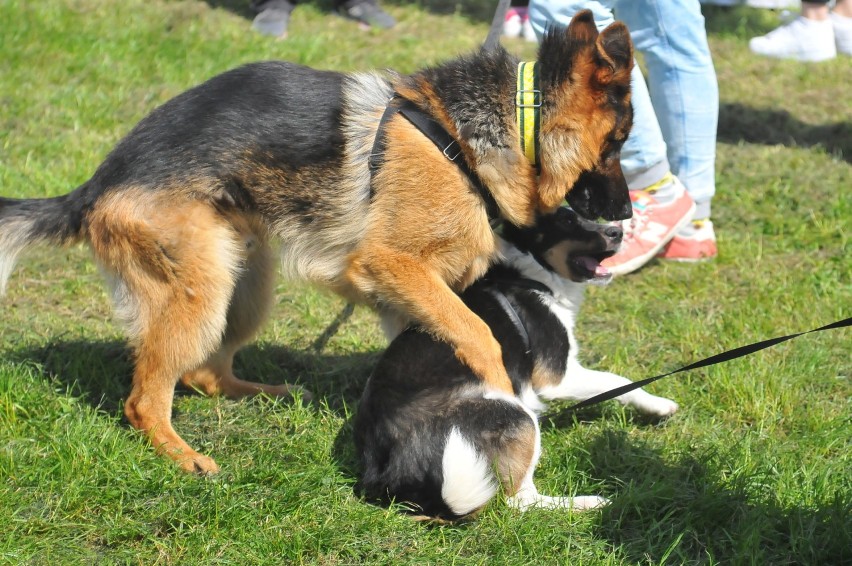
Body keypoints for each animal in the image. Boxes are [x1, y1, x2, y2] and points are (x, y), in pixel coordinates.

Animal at [0, 12, 632, 474]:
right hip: (202, 289)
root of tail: (94, 187)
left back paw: (264, 392)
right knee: (144, 397)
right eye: (619, 142)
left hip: (247, 281)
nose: (626, 219)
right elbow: (477, 332)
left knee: (204, 374)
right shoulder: (390, 265)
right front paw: (501, 391)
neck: (477, 135)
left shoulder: (408, 292)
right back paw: (181, 456)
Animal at [352, 209, 680, 524]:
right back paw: (586, 504)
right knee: (520, 502)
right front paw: (658, 405)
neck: (530, 277)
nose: (618, 231)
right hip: (516, 415)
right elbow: (617, 381)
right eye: (567, 220)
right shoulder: (558, 376)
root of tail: (390, 473)